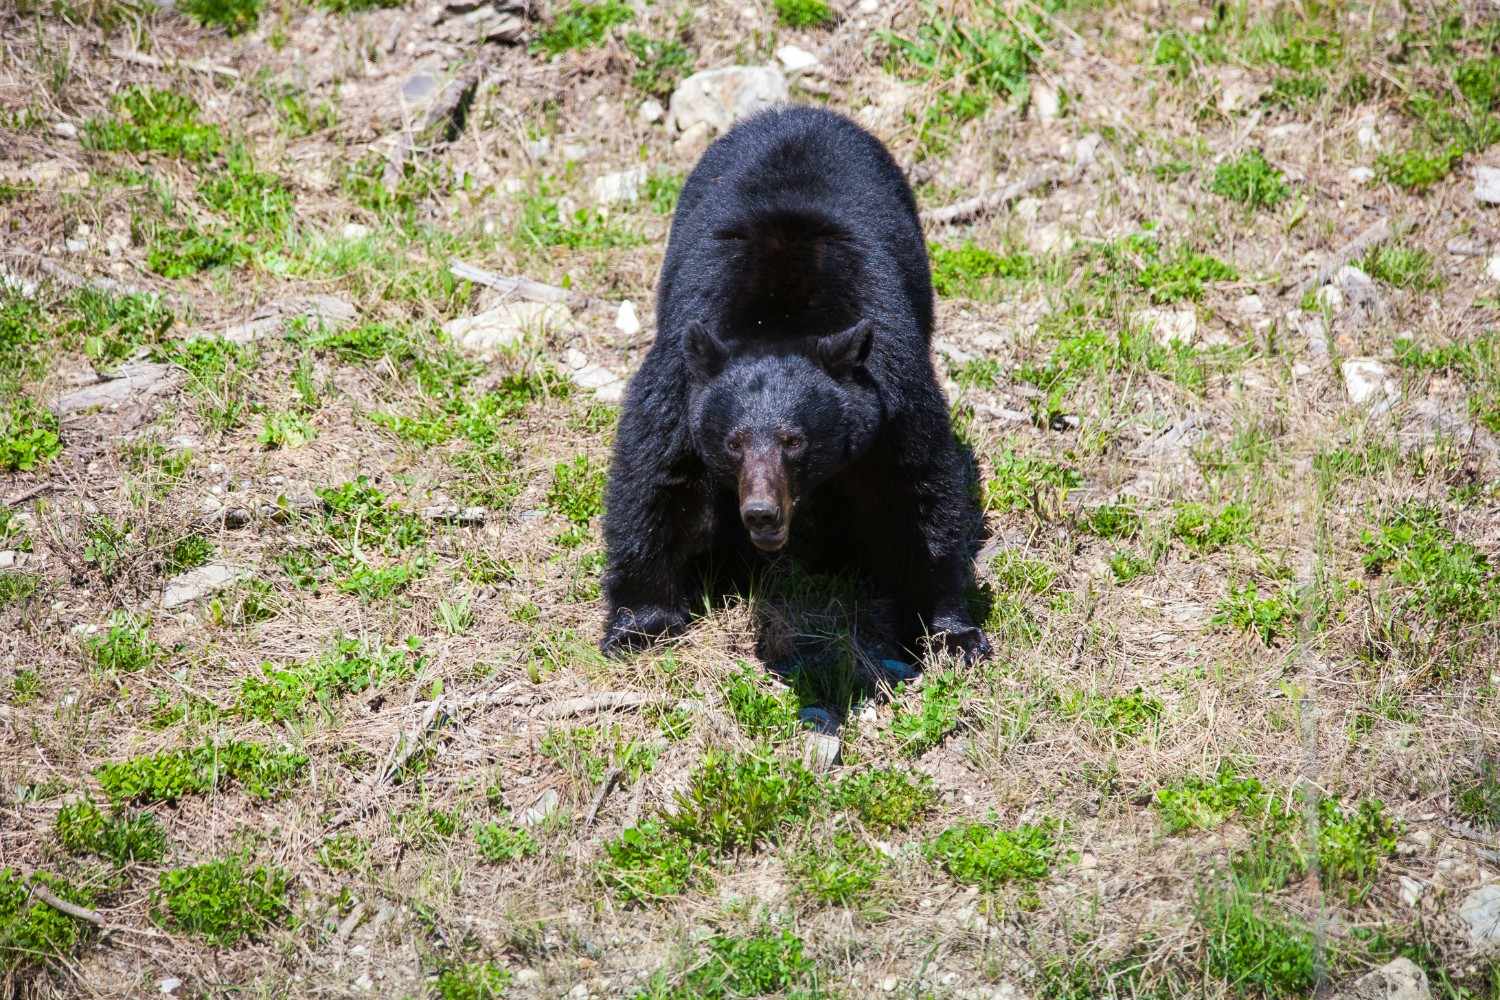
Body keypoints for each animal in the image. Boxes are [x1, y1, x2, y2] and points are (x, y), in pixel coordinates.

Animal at [597, 105, 996, 665]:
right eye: (734, 443)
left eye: (794, 441)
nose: (762, 513)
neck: (778, 320)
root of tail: (800, 111)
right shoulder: (682, 369)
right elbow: (657, 475)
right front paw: (639, 625)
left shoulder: (891, 379)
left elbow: (915, 489)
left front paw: (950, 632)